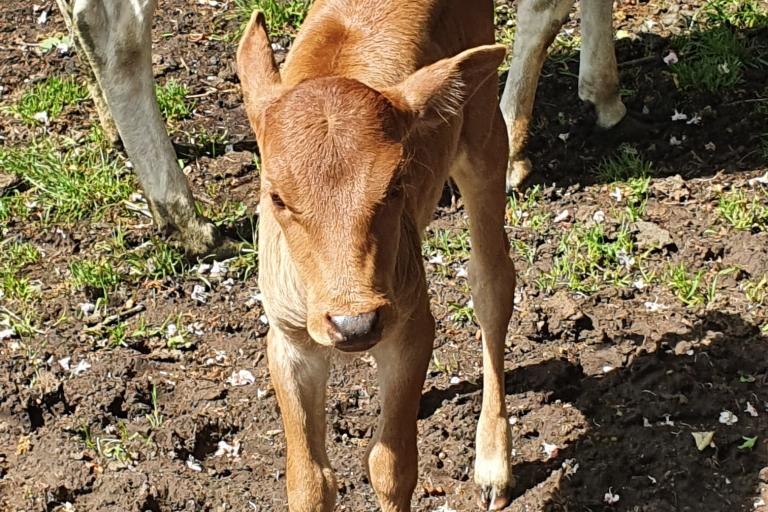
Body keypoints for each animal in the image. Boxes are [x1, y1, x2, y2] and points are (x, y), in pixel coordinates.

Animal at [240, 2, 516, 510]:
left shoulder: (410, 323)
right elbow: (309, 481)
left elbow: (392, 468)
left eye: (395, 185)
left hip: (486, 134)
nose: (354, 324)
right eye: (277, 197)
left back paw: (493, 464)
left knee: (491, 281)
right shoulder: (287, 338)